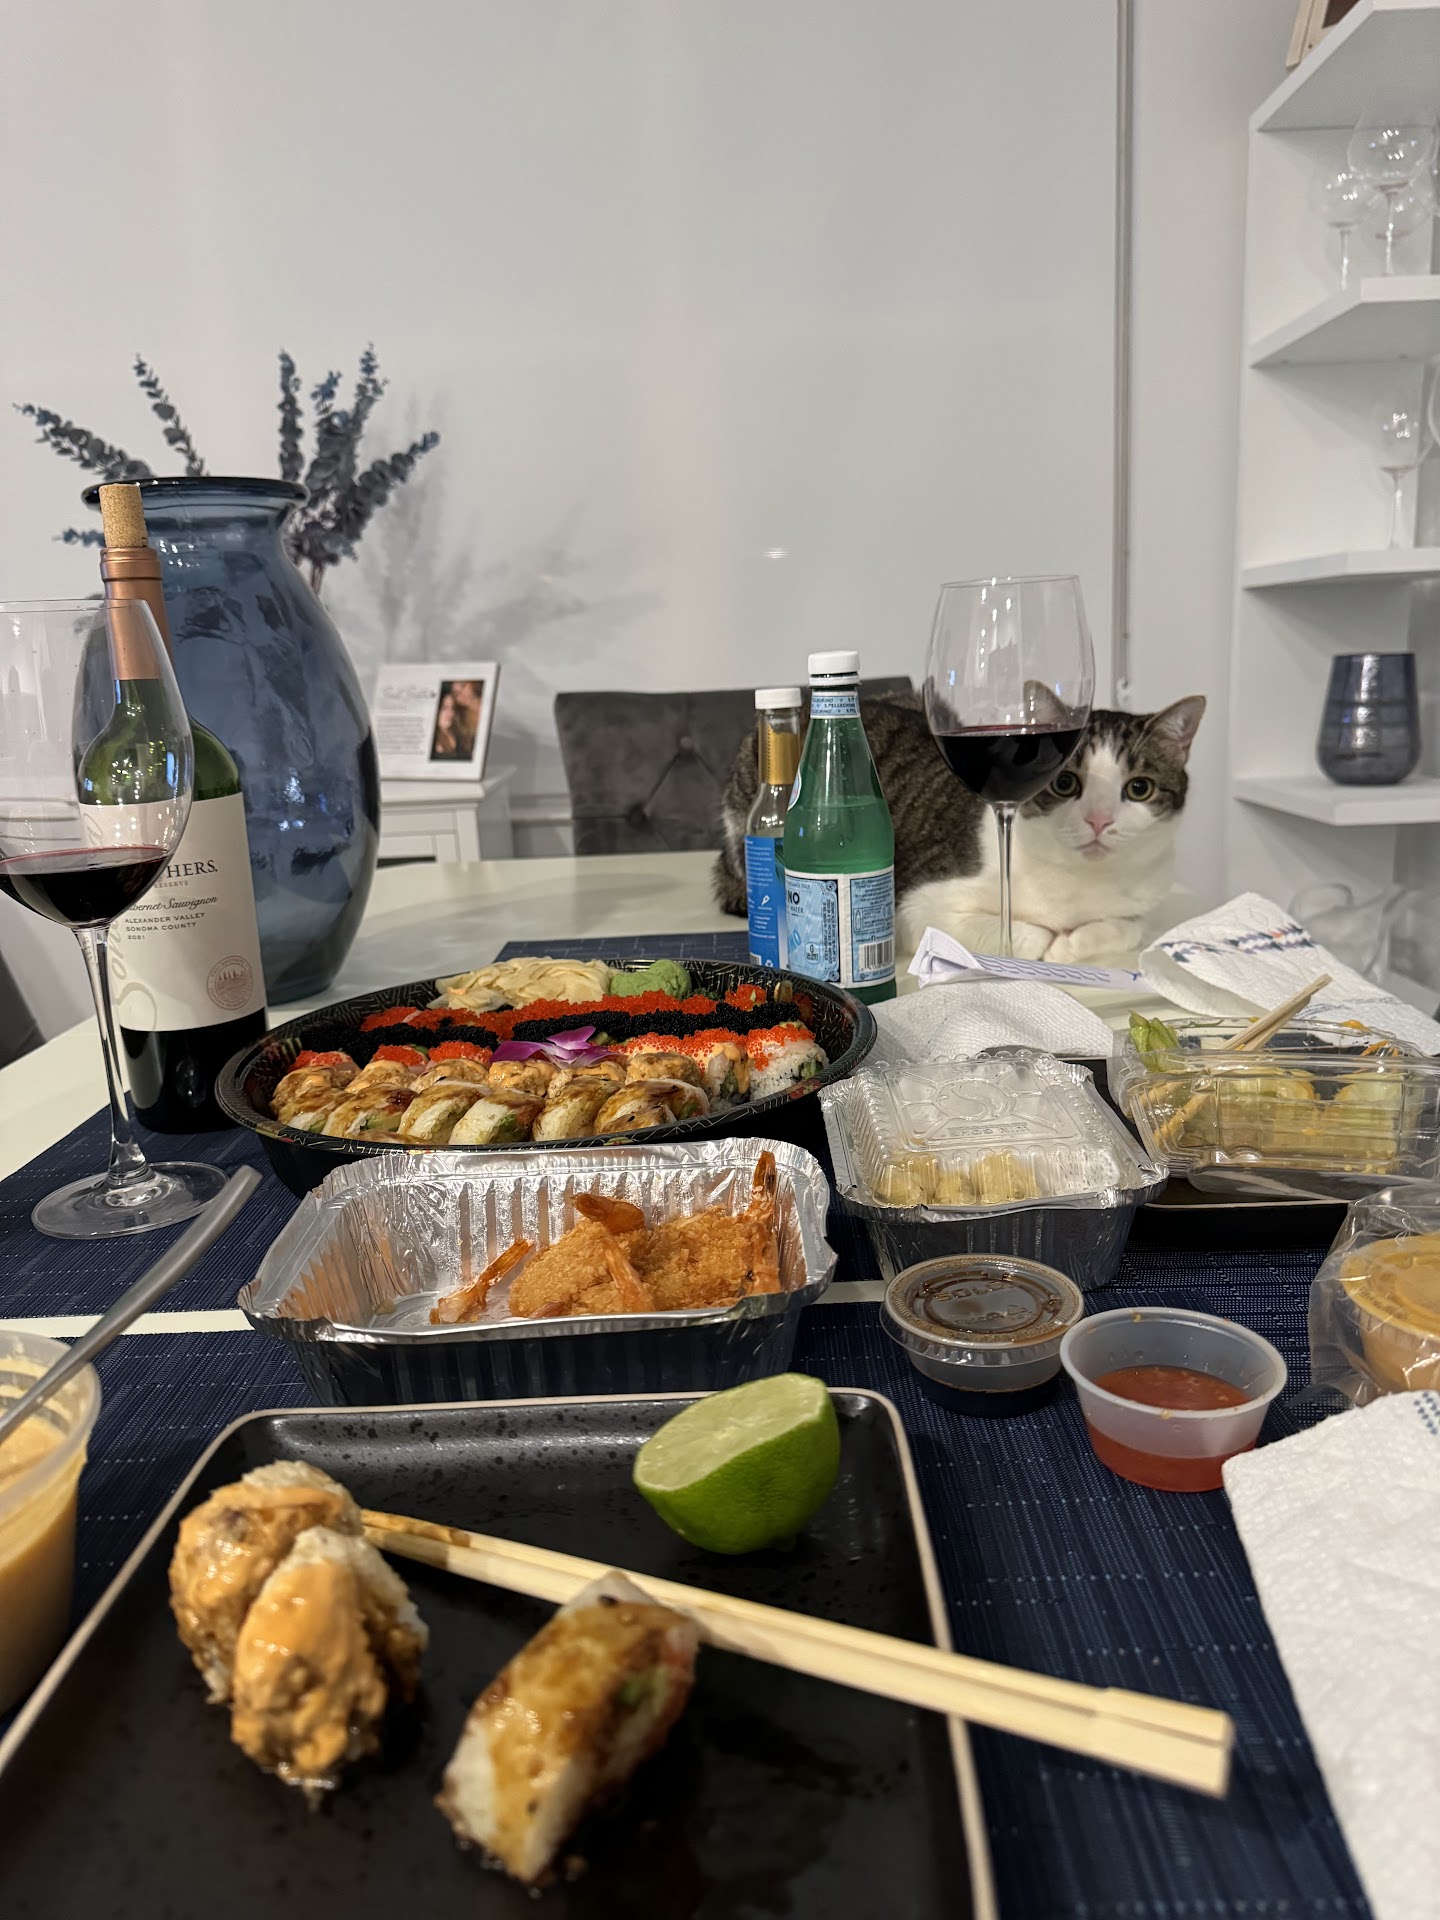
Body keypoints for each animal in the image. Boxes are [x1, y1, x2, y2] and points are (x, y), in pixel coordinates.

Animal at [713, 690, 1205, 966]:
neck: (1085, 881)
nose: (1099, 821)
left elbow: (1127, 927)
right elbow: (1031, 934)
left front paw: (1073, 943)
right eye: (1065, 782)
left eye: (1138, 788)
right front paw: (1049, 948)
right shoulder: (917, 907)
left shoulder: (1142, 904)